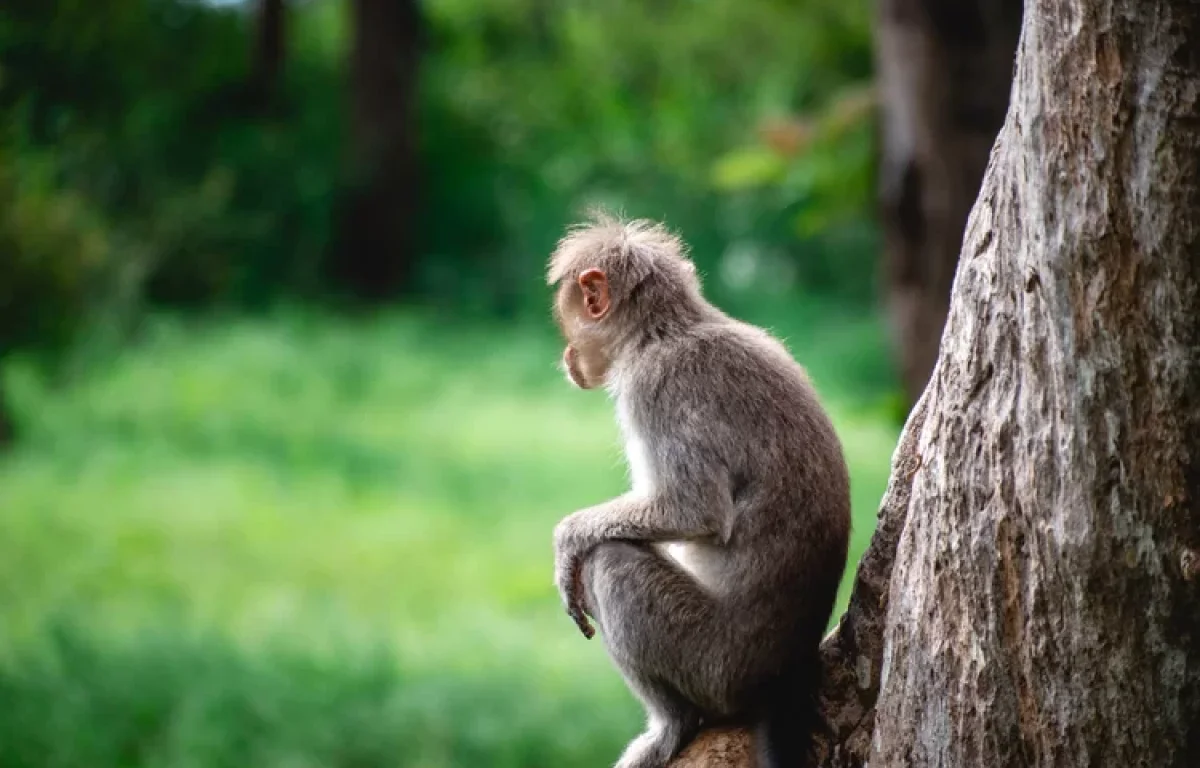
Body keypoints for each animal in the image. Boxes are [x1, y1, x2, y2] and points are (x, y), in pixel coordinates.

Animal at [549, 214, 849, 768]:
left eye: (569, 321)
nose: (567, 355)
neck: (663, 332)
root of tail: (781, 676)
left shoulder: (657, 386)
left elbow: (696, 508)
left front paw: (568, 537)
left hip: (713, 664)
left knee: (610, 562)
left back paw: (674, 724)